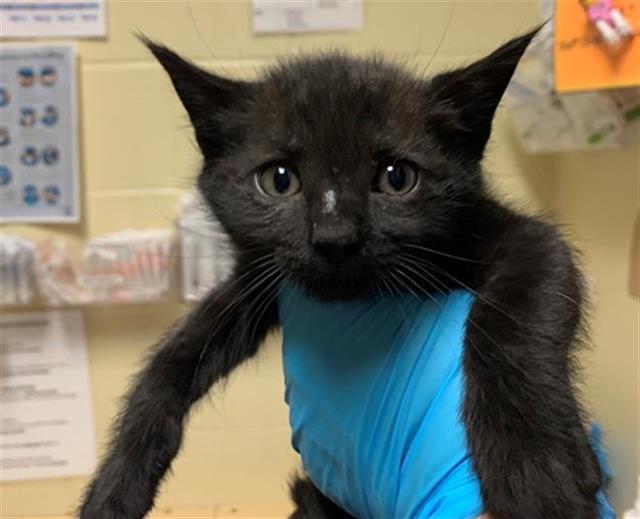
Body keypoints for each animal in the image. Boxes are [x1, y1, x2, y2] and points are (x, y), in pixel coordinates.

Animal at [77, 32, 604, 519]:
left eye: (396, 176)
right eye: (278, 179)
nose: (335, 237)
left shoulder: (520, 238)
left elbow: (516, 311)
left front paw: (537, 473)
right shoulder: (261, 278)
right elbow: (175, 355)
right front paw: (114, 486)